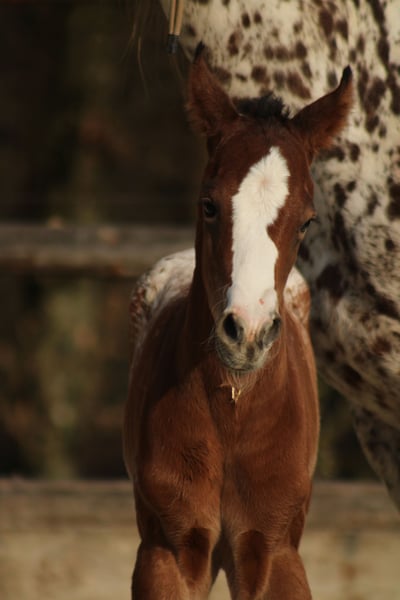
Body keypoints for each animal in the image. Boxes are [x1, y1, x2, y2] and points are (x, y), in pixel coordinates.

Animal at [123, 46, 353, 599]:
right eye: (209, 204)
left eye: (307, 220)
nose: (246, 333)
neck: (233, 410)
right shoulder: (168, 551)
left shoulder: (272, 550)